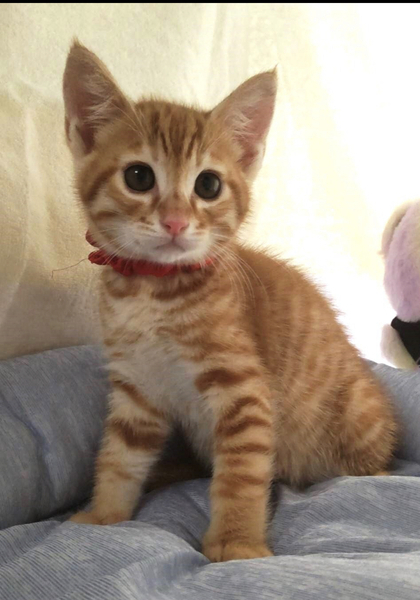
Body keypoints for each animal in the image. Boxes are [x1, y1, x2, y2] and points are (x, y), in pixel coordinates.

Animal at [64, 41, 397, 562]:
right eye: (138, 177)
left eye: (208, 186)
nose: (176, 221)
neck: (152, 289)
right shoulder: (136, 389)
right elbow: (118, 457)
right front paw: (103, 516)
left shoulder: (244, 391)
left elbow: (240, 475)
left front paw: (237, 544)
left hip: (357, 417)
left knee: (372, 471)